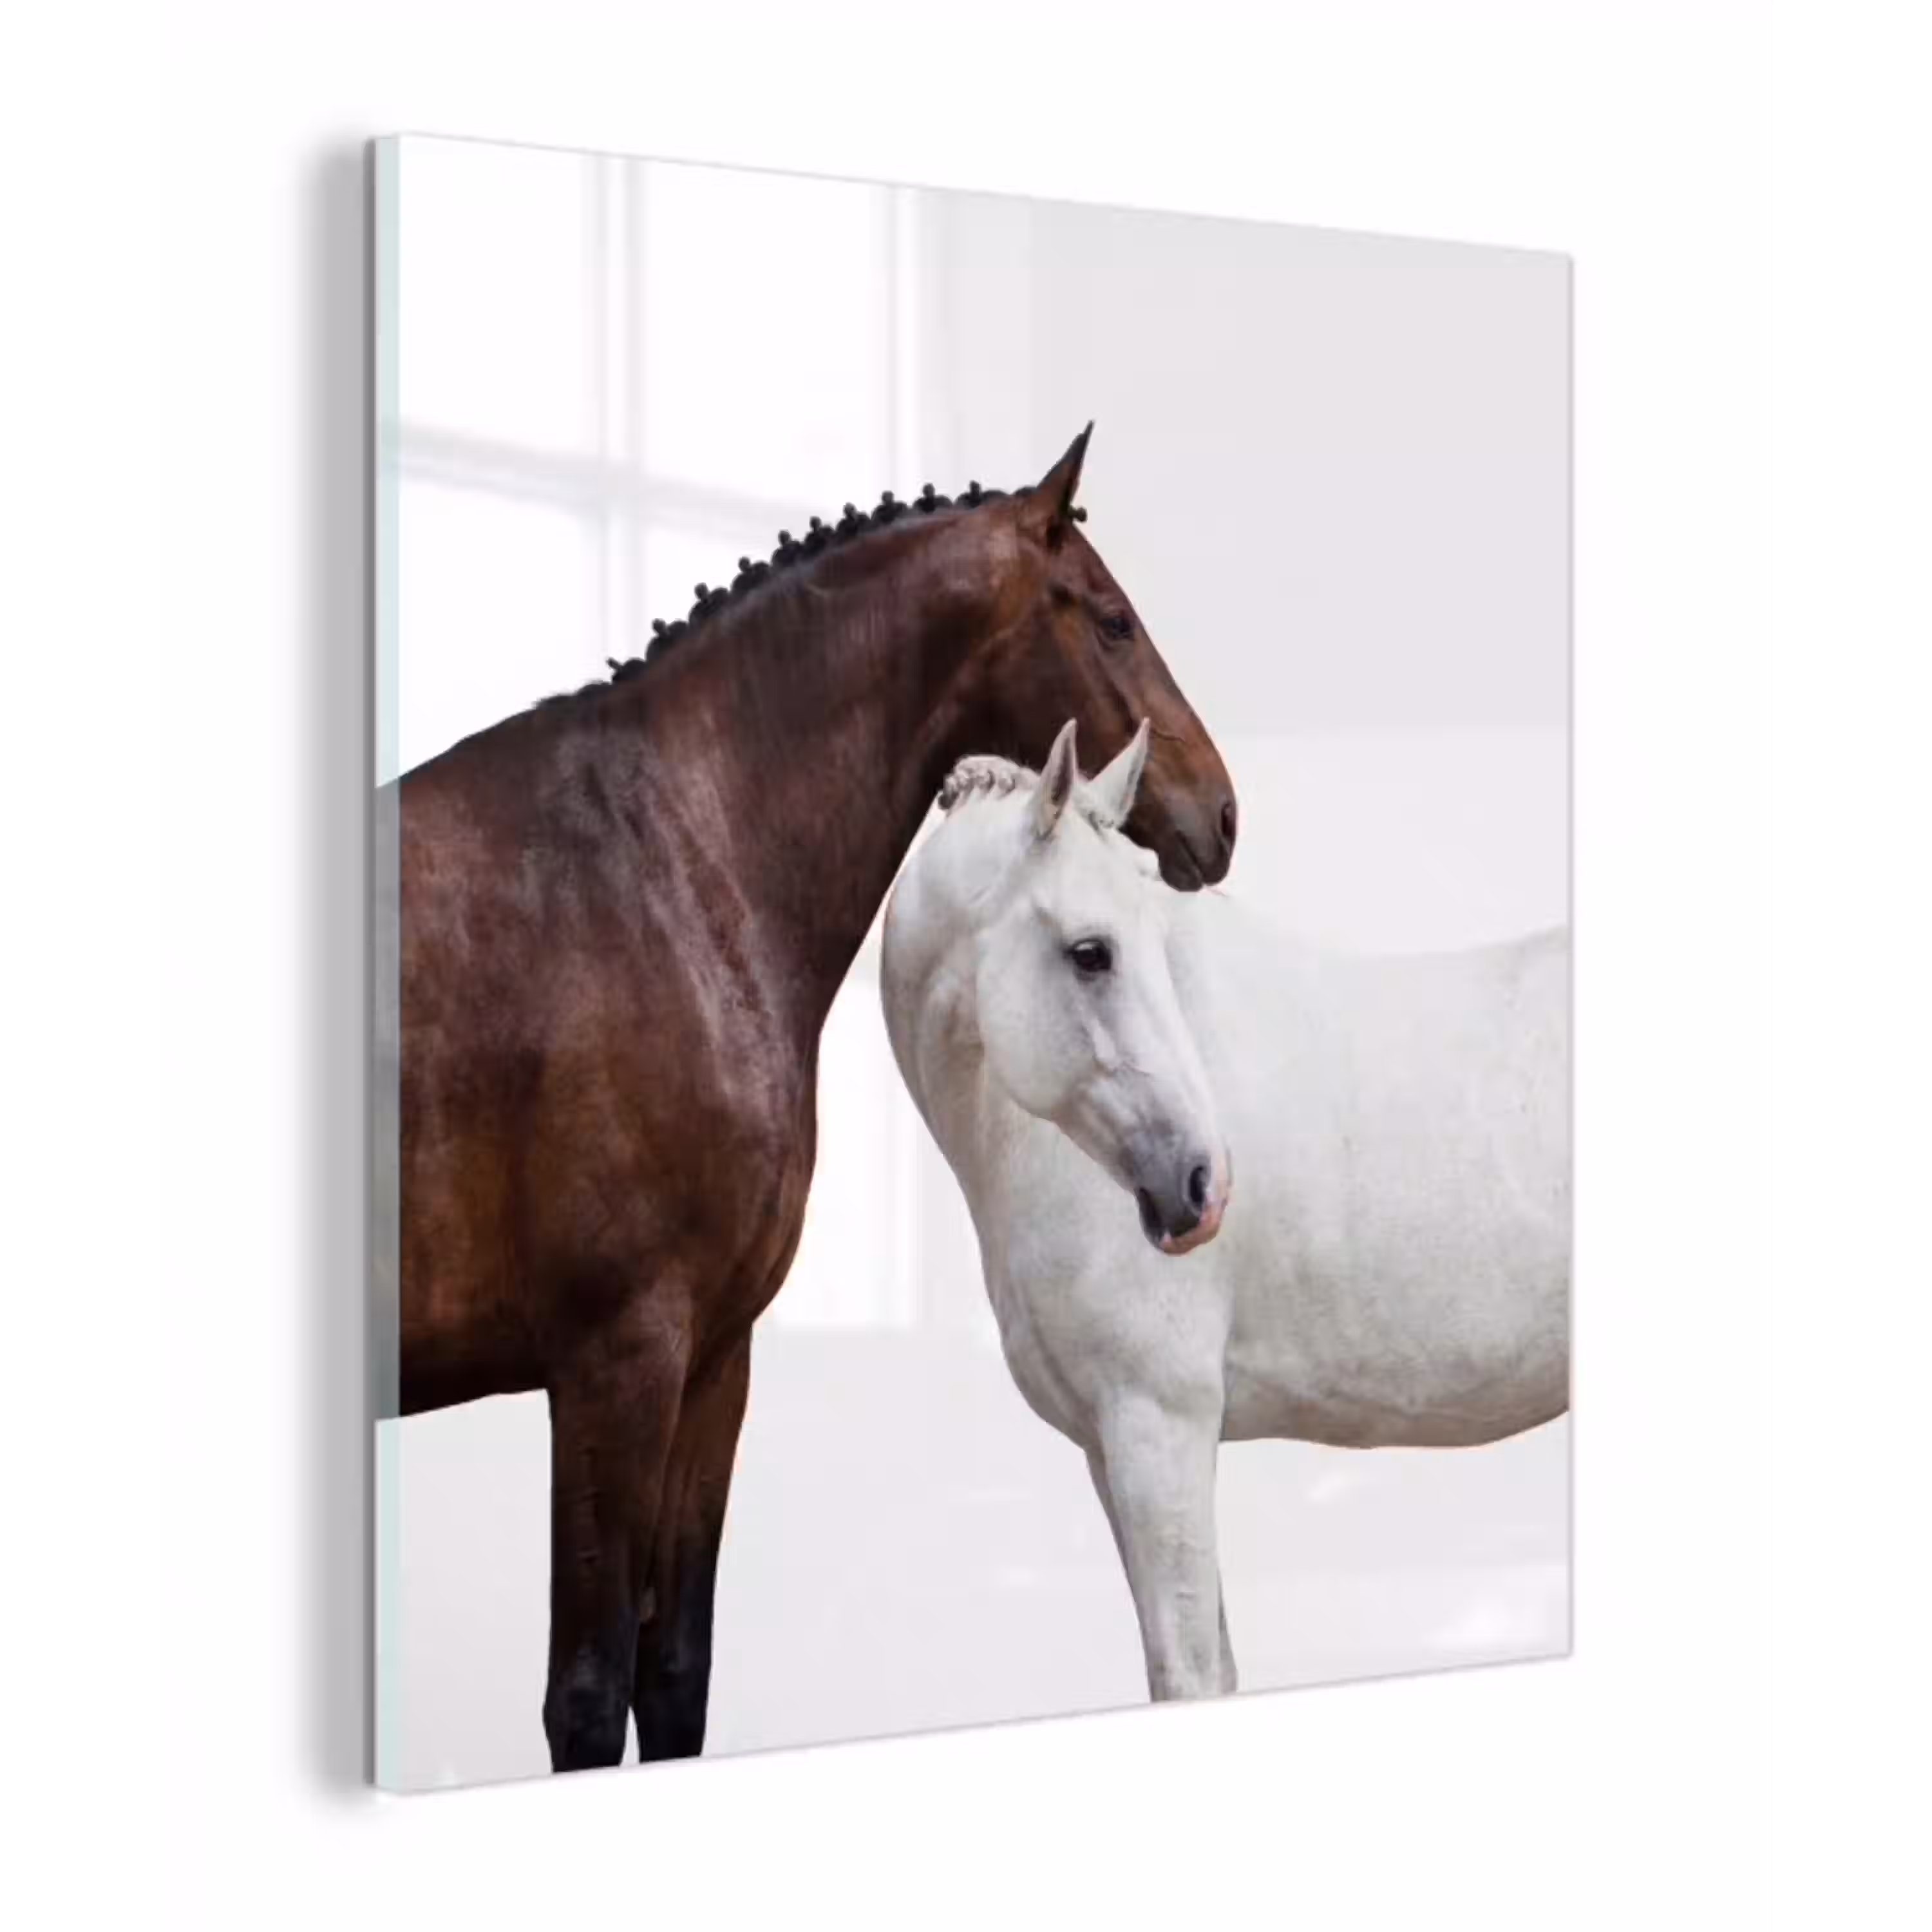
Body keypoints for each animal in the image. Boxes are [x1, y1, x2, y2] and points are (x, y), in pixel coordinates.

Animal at [383, 428, 1240, 1771]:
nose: (1222, 812)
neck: (665, 872)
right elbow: (588, 1692)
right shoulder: (613, 1360)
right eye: (1110, 620)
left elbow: (673, 1674)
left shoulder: (710, 1363)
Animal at [879, 724, 1569, 1702]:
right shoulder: (1113, 1446)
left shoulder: (1160, 1426)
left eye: (1147, 941)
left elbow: (1190, 1675)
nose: (1201, 1184)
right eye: (1092, 952)